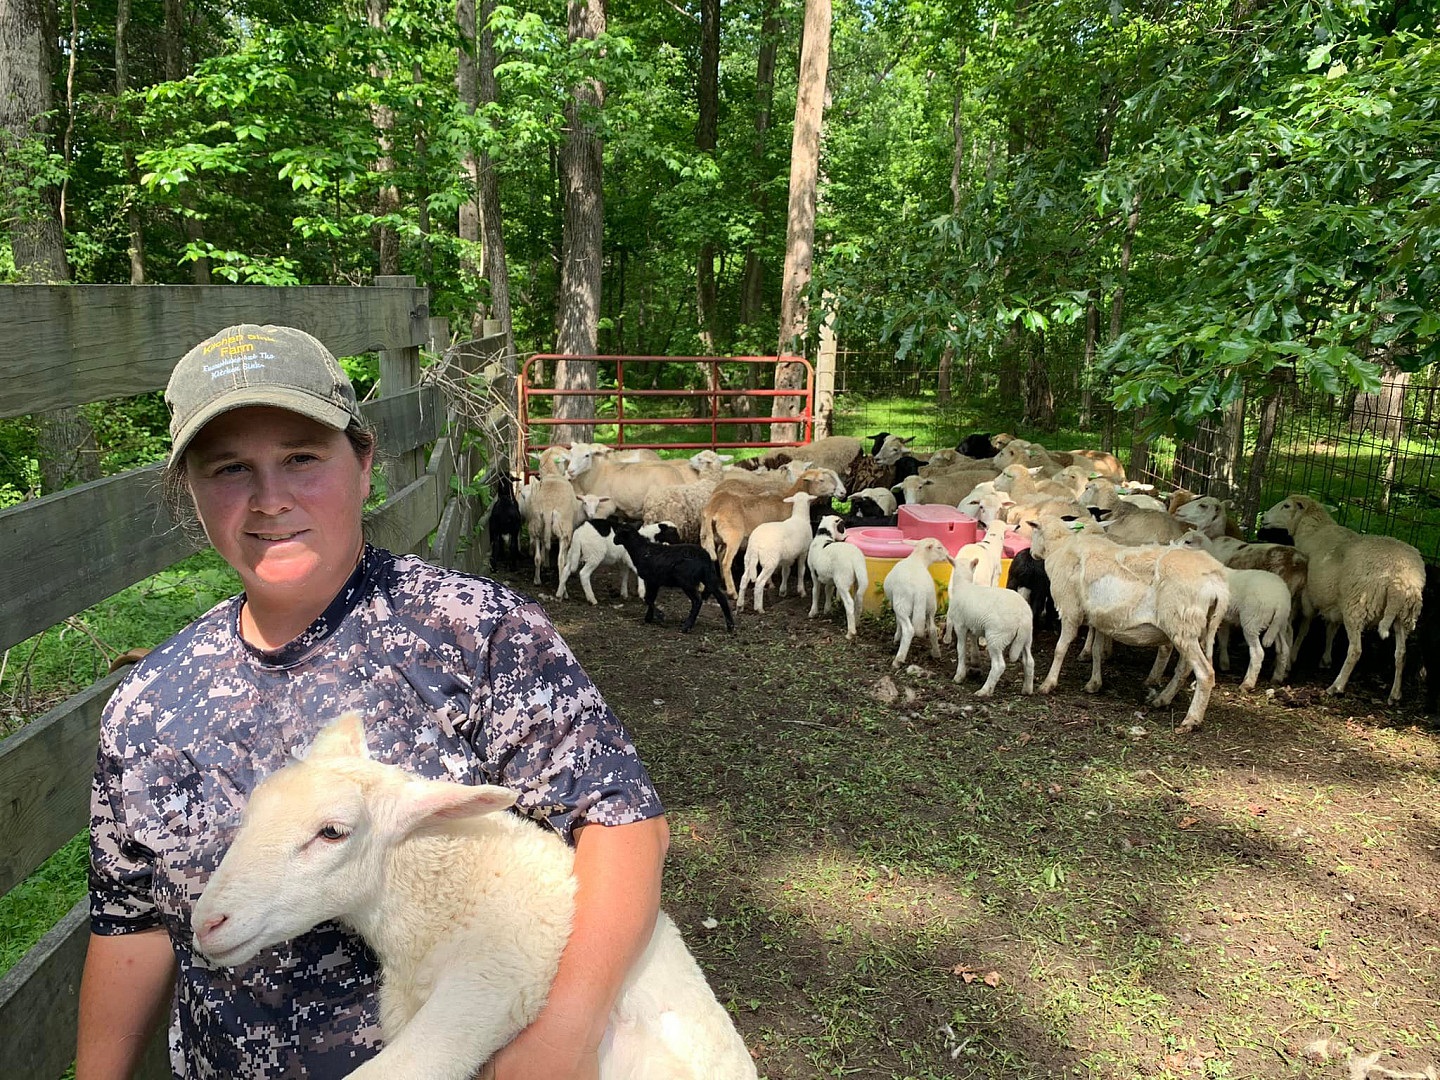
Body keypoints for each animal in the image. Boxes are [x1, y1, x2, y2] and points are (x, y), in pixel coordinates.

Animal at [875, 538, 956, 673]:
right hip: (930, 605)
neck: (917, 559)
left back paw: (898, 660)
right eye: (939, 547)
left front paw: (897, 637)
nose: (948, 554)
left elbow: (898, 622)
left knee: (909, 629)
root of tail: (920, 589)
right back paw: (936, 653)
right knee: (932, 629)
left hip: (902, 604)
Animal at [944, 552, 1036, 696]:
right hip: (1027, 637)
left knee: (999, 665)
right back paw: (1027, 689)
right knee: (1029, 661)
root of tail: (1022, 617)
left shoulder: (960, 625)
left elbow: (961, 649)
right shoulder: (972, 625)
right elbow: (973, 641)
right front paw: (975, 661)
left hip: (996, 636)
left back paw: (984, 690)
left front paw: (959, 676)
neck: (963, 584)